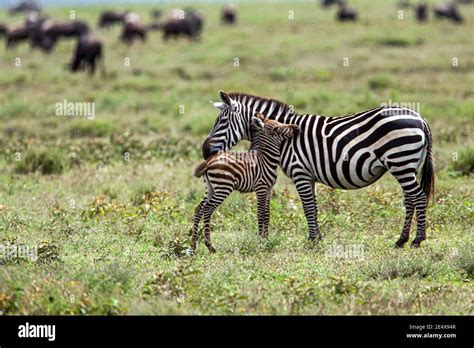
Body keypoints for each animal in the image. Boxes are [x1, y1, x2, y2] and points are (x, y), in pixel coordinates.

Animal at [190, 114, 298, 253]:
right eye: (276, 129)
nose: (296, 127)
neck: (267, 159)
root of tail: (209, 162)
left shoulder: (268, 189)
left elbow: (267, 214)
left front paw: (266, 239)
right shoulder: (261, 188)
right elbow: (261, 214)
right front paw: (260, 241)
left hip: (210, 188)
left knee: (199, 208)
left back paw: (193, 246)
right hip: (222, 188)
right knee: (208, 209)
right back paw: (210, 246)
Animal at [202, 90, 436, 247]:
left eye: (222, 121)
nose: (205, 152)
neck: (283, 136)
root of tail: (420, 118)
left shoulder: (300, 173)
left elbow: (307, 207)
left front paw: (313, 240)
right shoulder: (309, 176)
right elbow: (313, 207)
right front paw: (319, 238)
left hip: (401, 161)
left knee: (418, 197)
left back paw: (417, 239)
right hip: (407, 165)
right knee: (410, 199)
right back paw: (401, 240)